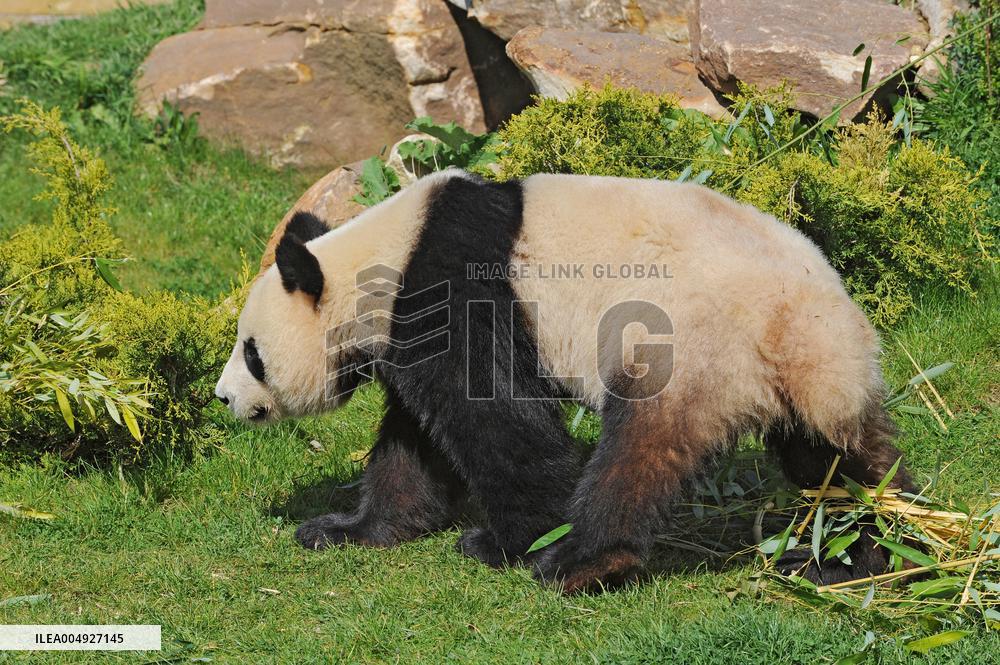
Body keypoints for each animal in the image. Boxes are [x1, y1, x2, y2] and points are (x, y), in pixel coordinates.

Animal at [215, 169, 914, 593]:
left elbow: (494, 414)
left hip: (689, 345)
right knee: (840, 462)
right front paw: (348, 530)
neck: (381, 259)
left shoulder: (450, 287)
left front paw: (506, 541)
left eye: (251, 352)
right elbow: (413, 443)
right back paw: (869, 552)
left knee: (639, 452)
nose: (223, 396)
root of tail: (799, 324)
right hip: (809, 379)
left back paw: (579, 561)